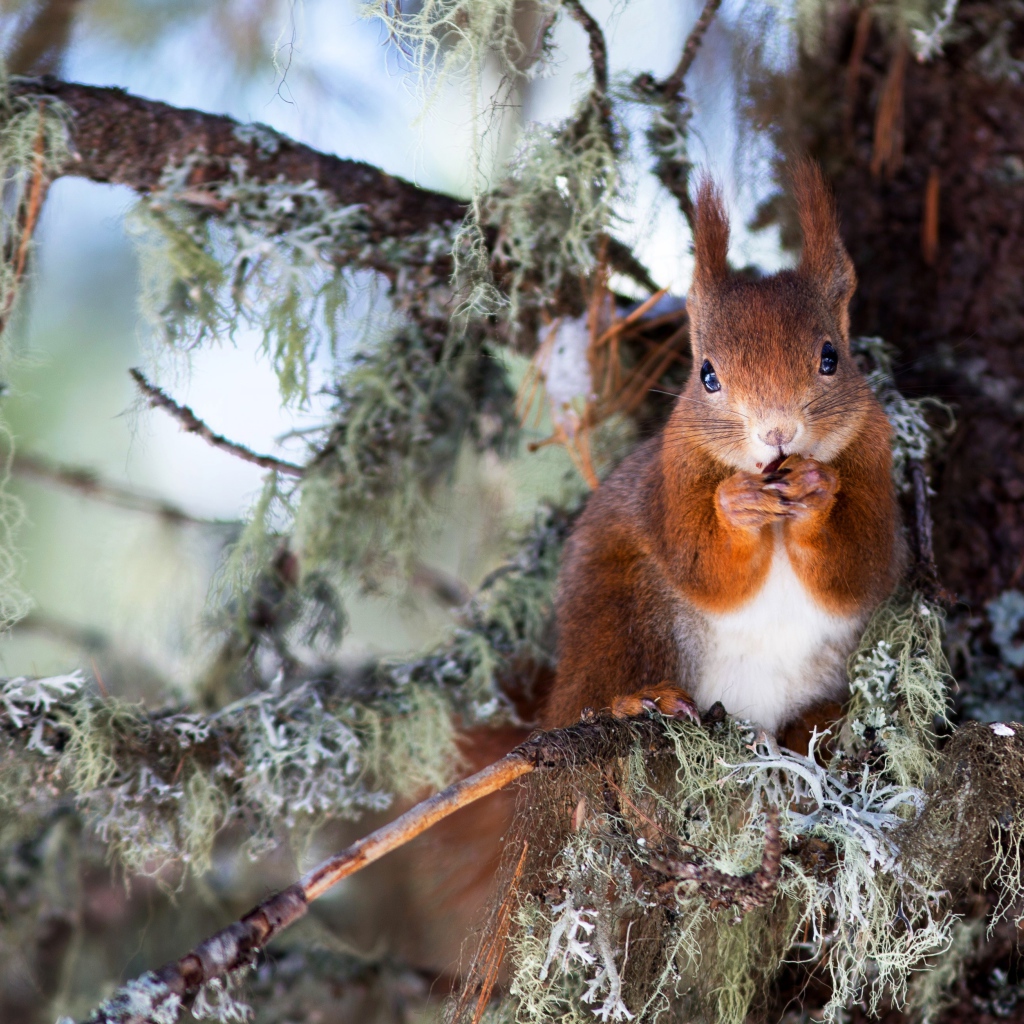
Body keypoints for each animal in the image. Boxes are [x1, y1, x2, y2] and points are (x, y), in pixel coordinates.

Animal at [544, 159, 905, 737]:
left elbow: (859, 566)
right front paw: (736, 505)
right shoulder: (673, 478)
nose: (777, 431)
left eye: (831, 358)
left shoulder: (874, 459)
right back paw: (639, 699)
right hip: (618, 611)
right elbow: (704, 566)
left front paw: (817, 489)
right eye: (707, 375)